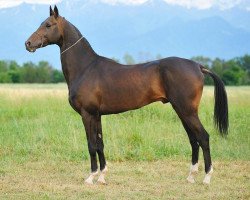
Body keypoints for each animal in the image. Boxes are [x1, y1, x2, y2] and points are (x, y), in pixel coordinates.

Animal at [25, 5, 229, 185]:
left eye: (48, 25)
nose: (28, 44)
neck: (86, 68)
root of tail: (198, 66)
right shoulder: (97, 115)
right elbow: (100, 144)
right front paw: (102, 176)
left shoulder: (87, 114)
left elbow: (91, 145)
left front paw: (91, 177)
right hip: (182, 111)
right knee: (194, 140)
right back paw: (190, 176)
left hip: (187, 111)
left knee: (203, 137)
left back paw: (206, 178)